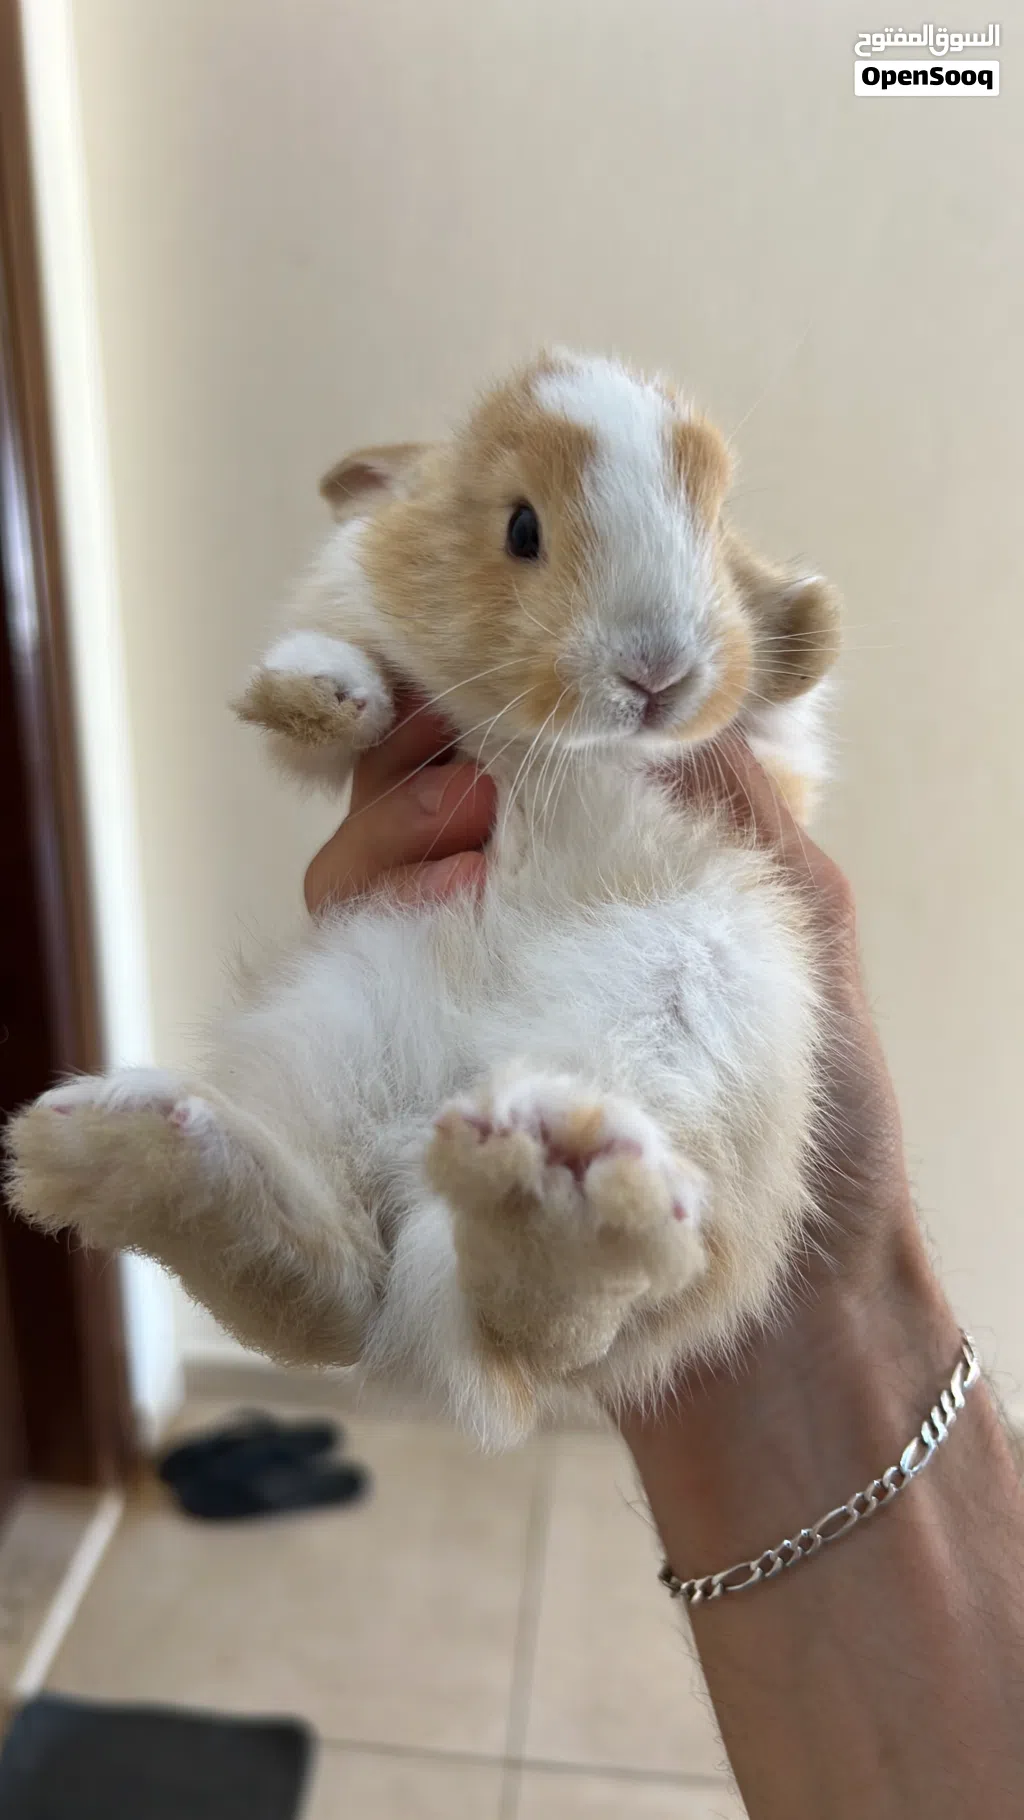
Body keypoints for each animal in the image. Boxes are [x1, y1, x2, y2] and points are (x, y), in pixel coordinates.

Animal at [6, 351, 840, 1447]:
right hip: (334, 1030)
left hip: (699, 1043)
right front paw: (317, 691)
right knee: (337, 1291)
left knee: (552, 1319)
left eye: (712, 518)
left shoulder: (775, 765)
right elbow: (329, 704)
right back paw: (134, 1153)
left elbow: (779, 713)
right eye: (521, 527)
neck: (541, 740)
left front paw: (804, 617)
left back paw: (556, 1197)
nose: (657, 671)